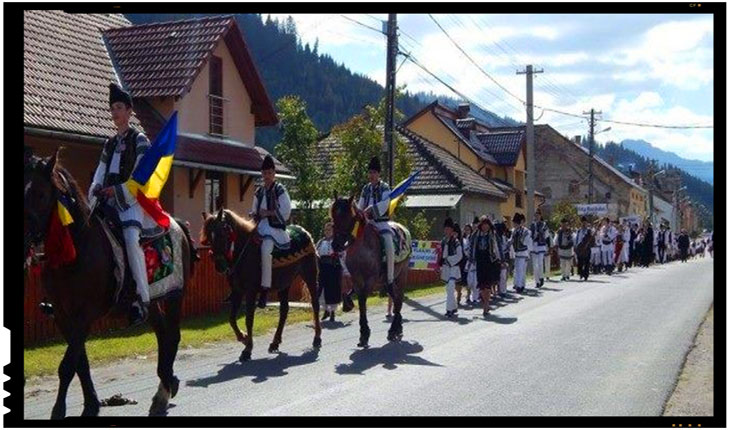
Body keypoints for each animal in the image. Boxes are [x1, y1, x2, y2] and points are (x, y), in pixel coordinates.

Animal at [23, 149, 196, 418]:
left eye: (40, 194)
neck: (75, 250)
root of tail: (177, 223)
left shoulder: (84, 314)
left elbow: (67, 365)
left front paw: (59, 411)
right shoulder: (63, 316)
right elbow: (80, 363)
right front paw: (91, 405)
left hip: (175, 296)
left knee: (173, 336)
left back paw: (163, 393)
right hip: (152, 302)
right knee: (162, 334)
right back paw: (168, 383)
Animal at [198, 207, 320, 362]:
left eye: (222, 232)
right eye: (209, 237)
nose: (219, 265)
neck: (243, 251)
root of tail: (305, 232)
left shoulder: (250, 292)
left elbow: (249, 319)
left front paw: (247, 349)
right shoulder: (237, 291)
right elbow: (231, 318)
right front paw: (243, 338)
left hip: (310, 276)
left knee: (315, 304)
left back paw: (317, 338)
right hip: (284, 284)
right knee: (284, 311)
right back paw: (275, 342)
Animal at [328, 197, 410, 348]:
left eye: (348, 217)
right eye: (333, 216)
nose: (336, 245)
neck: (363, 245)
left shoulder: (370, 280)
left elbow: (362, 301)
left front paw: (365, 333)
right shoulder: (356, 279)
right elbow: (358, 300)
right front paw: (362, 333)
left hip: (402, 275)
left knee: (399, 299)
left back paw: (393, 330)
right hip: (388, 281)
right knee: (395, 298)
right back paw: (397, 328)